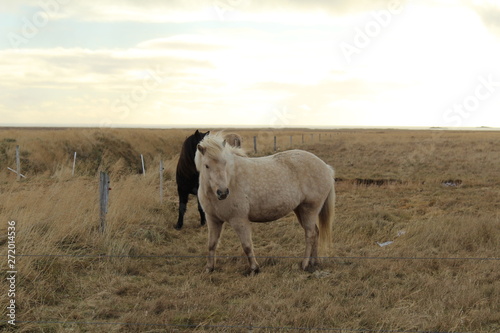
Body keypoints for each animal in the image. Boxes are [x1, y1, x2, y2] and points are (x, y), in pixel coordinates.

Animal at [195, 132, 336, 272]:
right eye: (206, 165)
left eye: (224, 163)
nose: (223, 192)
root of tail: (326, 167)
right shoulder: (213, 220)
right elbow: (211, 244)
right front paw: (209, 268)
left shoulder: (239, 220)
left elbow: (247, 245)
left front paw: (254, 268)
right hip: (300, 210)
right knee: (316, 233)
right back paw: (314, 262)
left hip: (309, 210)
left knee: (310, 234)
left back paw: (305, 264)